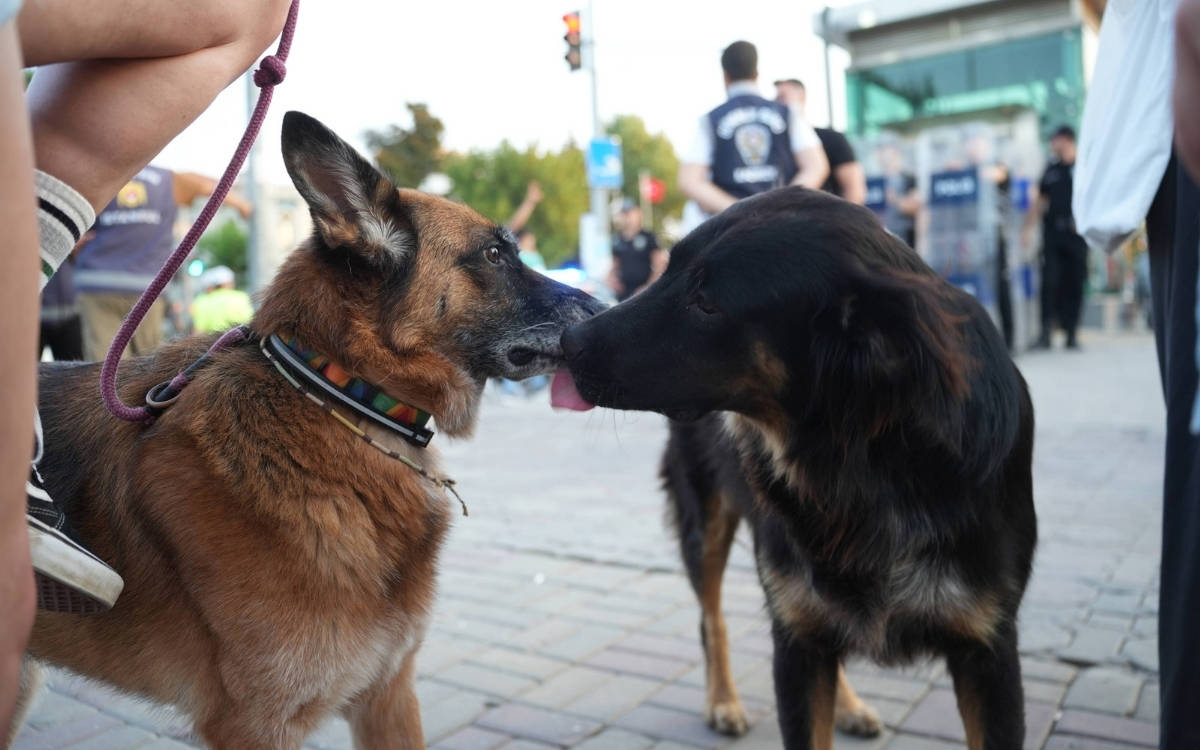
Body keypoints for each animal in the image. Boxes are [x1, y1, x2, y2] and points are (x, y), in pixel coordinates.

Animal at [556, 186, 1036, 744]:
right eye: (667, 269)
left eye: (707, 303)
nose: (567, 343)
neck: (863, 459)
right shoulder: (794, 645)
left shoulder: (989, 650)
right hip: (707, 524)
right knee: (711, 618)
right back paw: (723, 700)